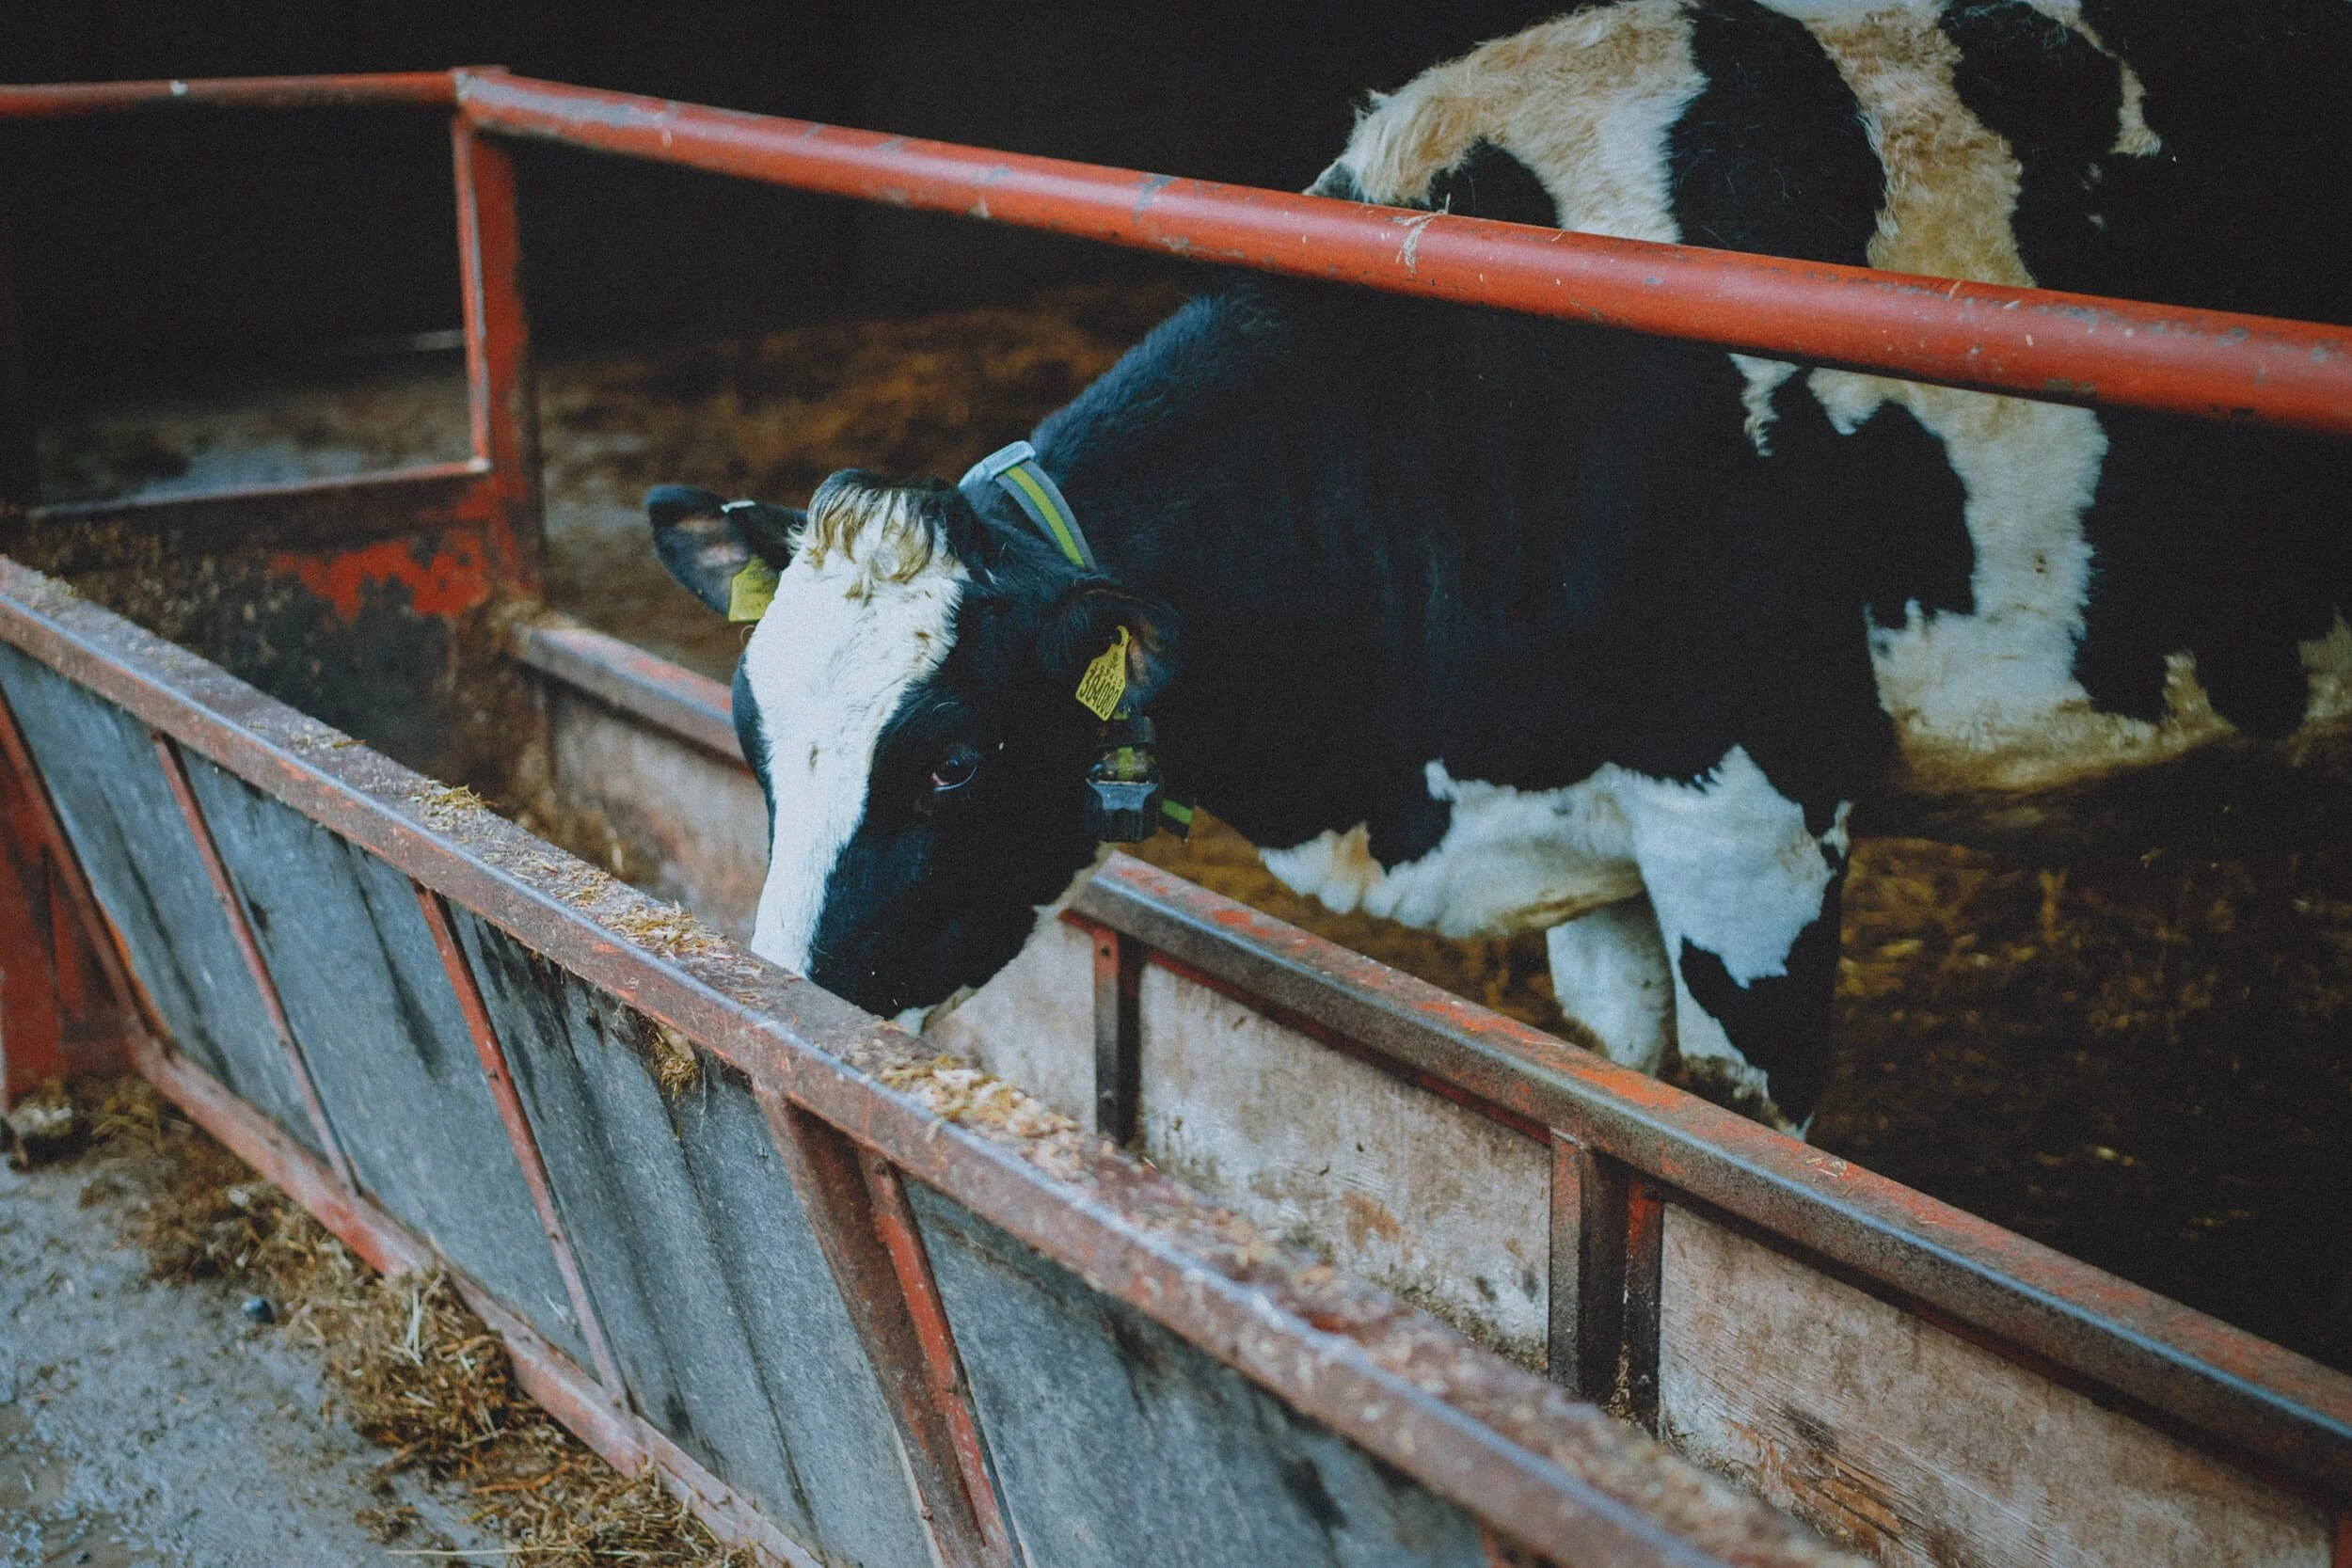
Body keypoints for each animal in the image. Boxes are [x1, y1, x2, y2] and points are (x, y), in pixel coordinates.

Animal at [647, 0, 2352, 1132]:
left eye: (950, 762)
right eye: (752, 736)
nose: (778, 1006)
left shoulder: (1755, 818)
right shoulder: (1595, 827)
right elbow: (1625, 1094)